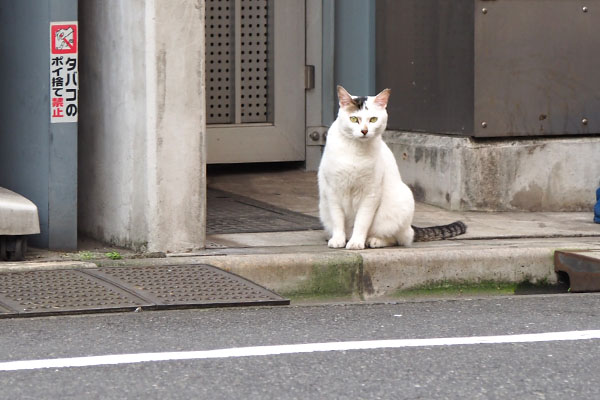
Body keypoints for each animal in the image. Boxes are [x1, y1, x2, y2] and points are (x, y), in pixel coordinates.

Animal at [316, 85, 466, 248]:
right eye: (354, 119)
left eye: (373, 119)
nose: (364, 131)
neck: (356, 149)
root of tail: (410, 226)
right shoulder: (332, 191)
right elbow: (338, 219)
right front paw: (338, 239)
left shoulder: (371, 193)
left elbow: (362, 221)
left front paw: (356, 242)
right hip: (323, 208)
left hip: (401, 202)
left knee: (400, 237)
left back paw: (374, 240)